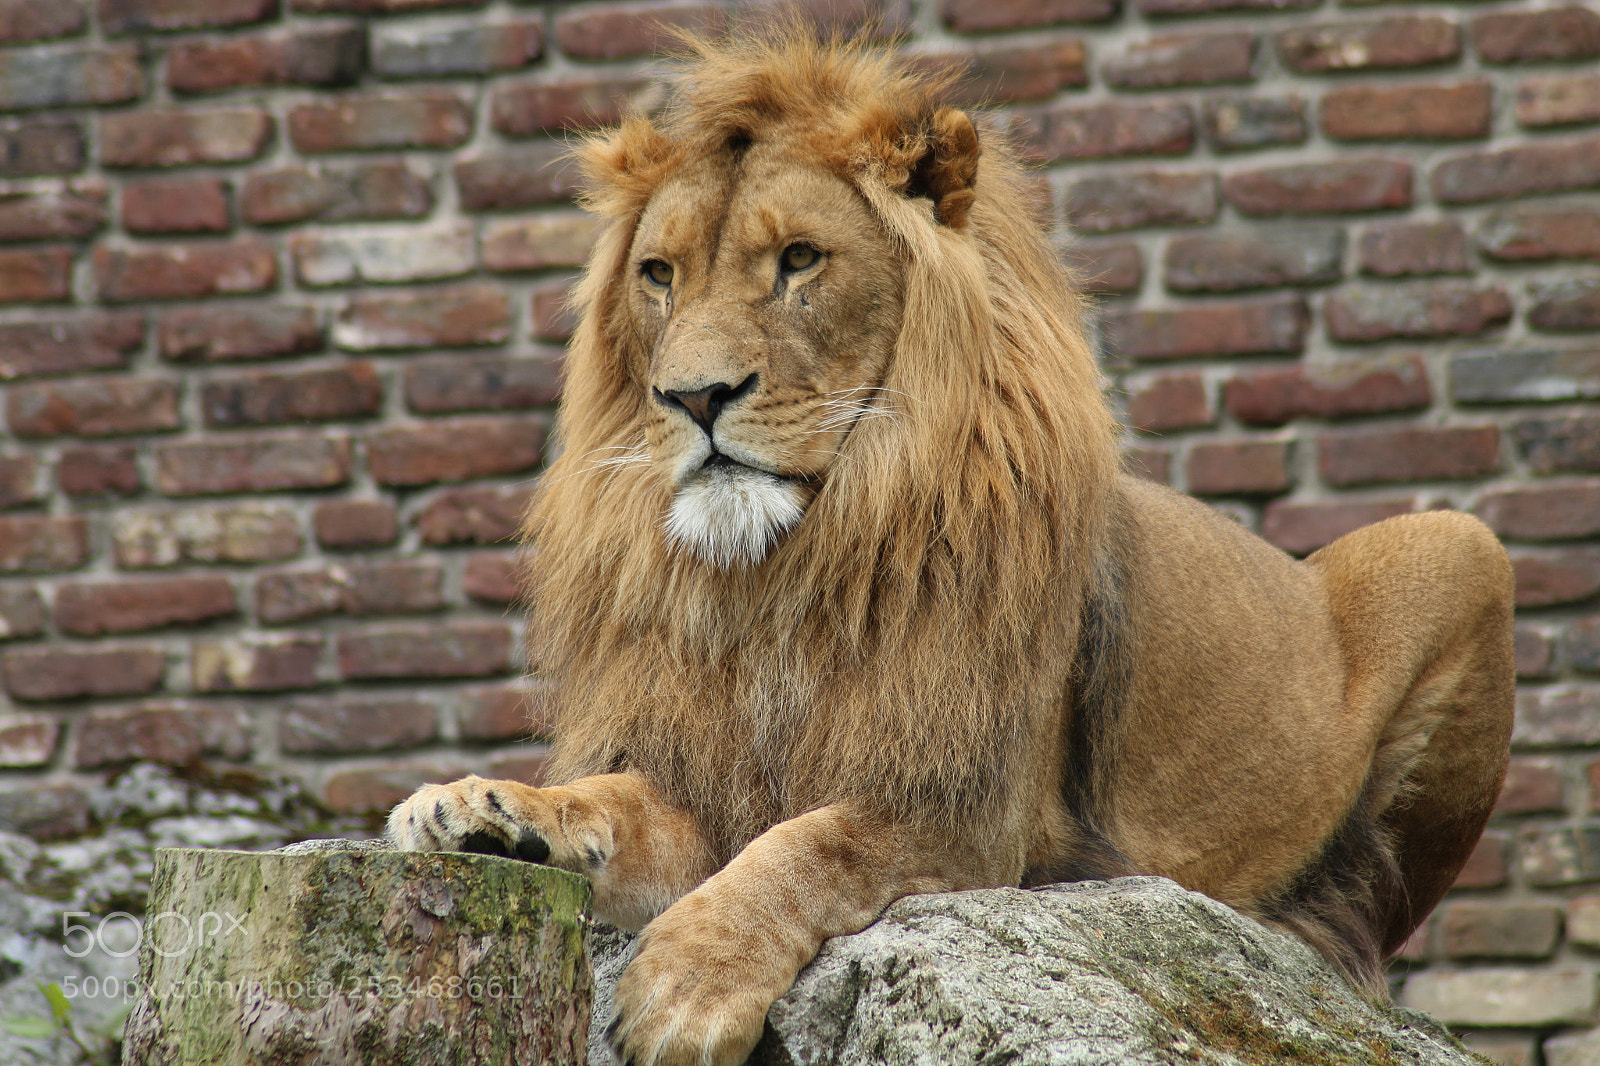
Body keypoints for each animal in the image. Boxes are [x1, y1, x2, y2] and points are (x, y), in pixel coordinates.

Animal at [388, 29, 1515, 1066]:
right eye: (659, 275)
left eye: (799, 259)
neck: (789, 573)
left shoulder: (975, 813)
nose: (692, 397)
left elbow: (811, 847)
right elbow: (618, 801)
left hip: (1464, 544)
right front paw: (481, 809)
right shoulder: (703, 778)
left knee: (1365, 927)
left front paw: (685, 985)